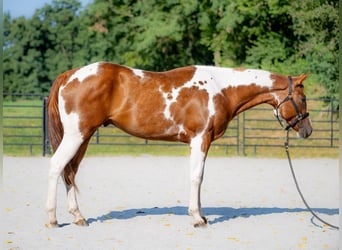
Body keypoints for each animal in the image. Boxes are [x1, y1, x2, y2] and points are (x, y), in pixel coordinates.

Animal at [45, 61, 312, 228]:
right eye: (303, 98)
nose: (307, 131)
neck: (220, 88)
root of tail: (70, 75)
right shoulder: (200, 138)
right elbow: (197, 177)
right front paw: (197, 218)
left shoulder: (199, 141)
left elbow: (198, 177)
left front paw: (201, 214)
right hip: (76, 136)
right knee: (57, 167)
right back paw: (52, 220)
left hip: (84, 137)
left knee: (70, 172)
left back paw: (78, 217)